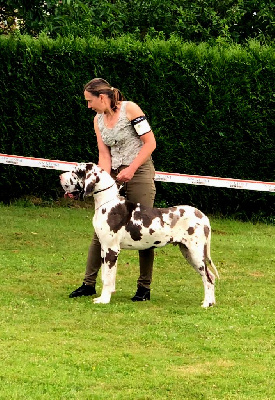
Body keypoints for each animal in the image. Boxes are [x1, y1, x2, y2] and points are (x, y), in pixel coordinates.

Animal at [60, 162, 220, 306]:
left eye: (76, 171)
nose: (60, 176)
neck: (107, 202)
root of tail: (203, 217)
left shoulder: (112, 249)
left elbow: (108, 277)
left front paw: (104, 300)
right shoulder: (104, 248)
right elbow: (106, 277)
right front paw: (104, 296)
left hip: (195, 253)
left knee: (208, 278)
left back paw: (206, 304)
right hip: (188, 253)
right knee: (210, 276)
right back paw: (211, 302)